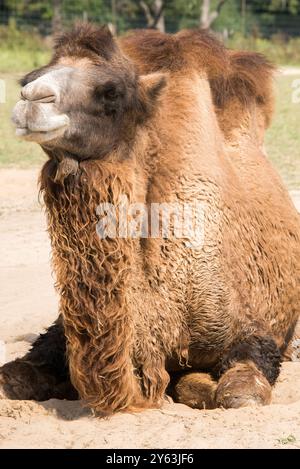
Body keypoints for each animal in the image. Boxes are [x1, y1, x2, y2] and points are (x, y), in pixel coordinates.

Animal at [0, 24, 300, 414]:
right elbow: (14, 377)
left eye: (111, 92)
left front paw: (195, 385)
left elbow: (238, 393)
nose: (32, 98)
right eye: (28, 78)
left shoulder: (256, 327)